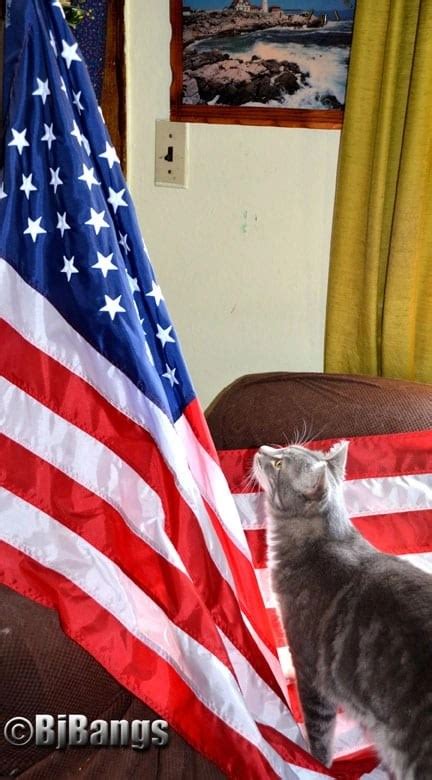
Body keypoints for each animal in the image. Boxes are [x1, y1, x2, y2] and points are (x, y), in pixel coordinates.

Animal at [251, 442, 432, 776]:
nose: (261, 449)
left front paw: (316, 764)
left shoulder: (310, 668)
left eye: (280, 463)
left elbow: (320, 732)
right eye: (283, 447)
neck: (325, 540)